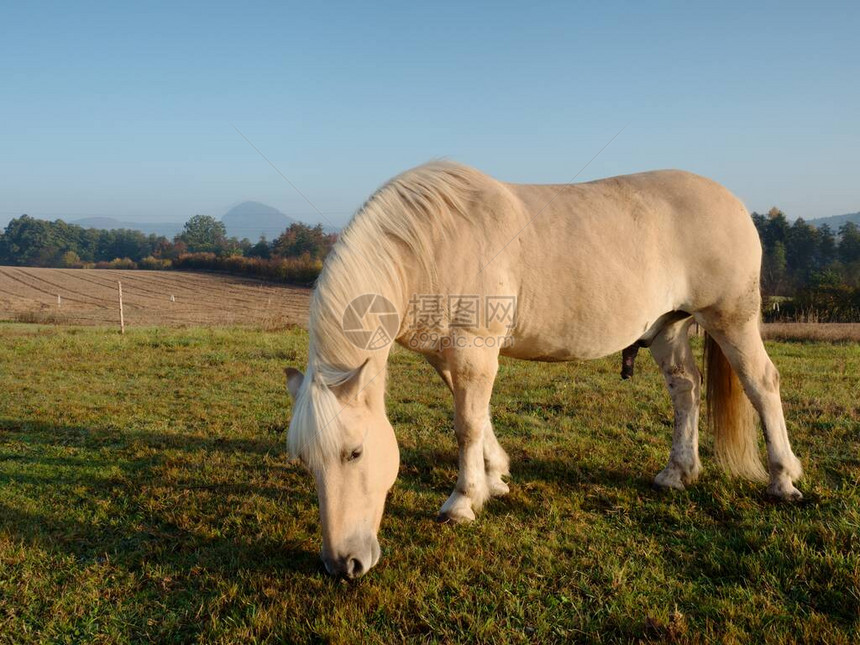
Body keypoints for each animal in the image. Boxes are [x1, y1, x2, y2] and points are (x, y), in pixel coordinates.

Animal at [286, 161, 804, 580]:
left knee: (762, 385)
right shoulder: (450, 357)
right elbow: (479, 417)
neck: (432, 241)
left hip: (731, 318)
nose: (343, 565)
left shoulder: (474, 349)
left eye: (354, 453)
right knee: (686, 390)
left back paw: (783, 479)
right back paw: (678, 471)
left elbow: (466, 424)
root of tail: (733, 203)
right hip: (668, 327)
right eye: (306, 461)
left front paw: (462, 501)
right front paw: (495, 478)